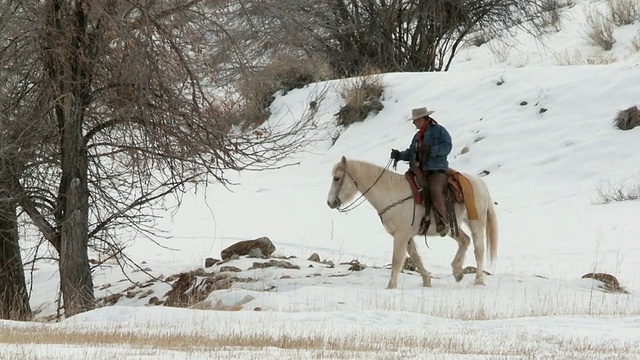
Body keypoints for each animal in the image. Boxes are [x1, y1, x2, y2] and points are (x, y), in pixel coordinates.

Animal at [328, 156, 498, 288]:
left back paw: (478, 280)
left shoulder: (401, 235)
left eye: (337, 178)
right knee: (464, 240)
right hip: (452, 227)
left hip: (476, 223)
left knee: (478, 249)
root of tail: (479, 183)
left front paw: (391, 286)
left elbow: (397, 259)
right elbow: (415, 257)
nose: (330, 203)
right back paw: (457, 272)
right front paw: (427, 281)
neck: (392, 194)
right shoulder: (407, 236)